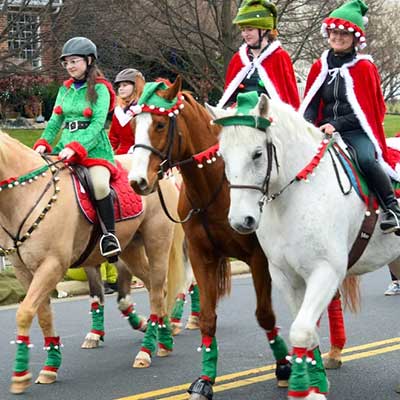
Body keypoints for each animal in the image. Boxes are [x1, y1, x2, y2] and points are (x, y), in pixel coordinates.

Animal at [0, 134, 184, 394]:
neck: (27, 194)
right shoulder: (25, 271)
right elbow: (43, 315)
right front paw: (49, 367)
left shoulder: (52, 266)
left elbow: (25, 313)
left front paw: (20, 375)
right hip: (131, 250)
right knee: (156, 288)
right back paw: (163, 335)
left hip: (157, 242)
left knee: (158, 292)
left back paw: (147, 350)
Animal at [128, 76, 290, 398]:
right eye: (134, 124)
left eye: (160, 125)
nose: (137, 181)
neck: (216, 184)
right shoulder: (202, 256)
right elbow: (207, 319)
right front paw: (205, 380)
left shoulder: (258, 259)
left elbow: (265, 314)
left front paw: (283, 366)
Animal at [208, 94, 400, 400]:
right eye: (223, 157)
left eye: (257, 154)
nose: (241, 220)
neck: (297, 195)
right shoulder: (286, 276)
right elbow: (306, 331)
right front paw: (315, 385)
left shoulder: (326, 272)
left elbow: (300, 330)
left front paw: (301, 390)